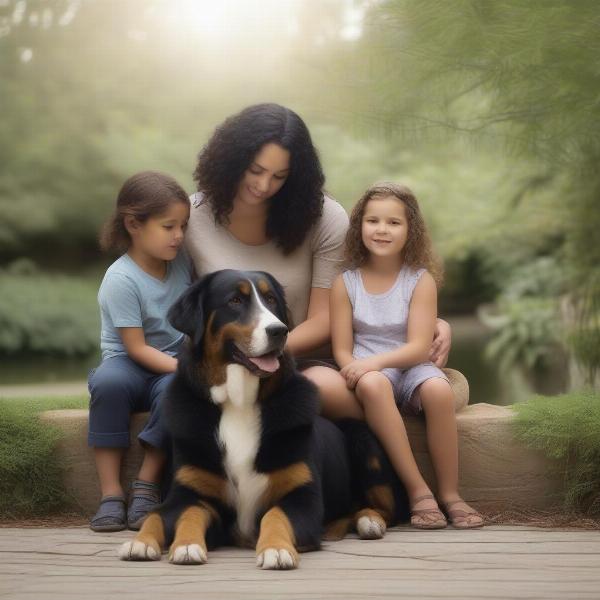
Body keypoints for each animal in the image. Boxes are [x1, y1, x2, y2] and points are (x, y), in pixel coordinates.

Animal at [118, 270, 408, 568]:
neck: (239, 403)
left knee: (386, 510)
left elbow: (275, 514)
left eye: (271, 300)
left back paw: (369, 520)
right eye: (235, 300)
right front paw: (166, 543)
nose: (279, 330)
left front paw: (276, 549)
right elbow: (172, 515)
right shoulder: (189, 492)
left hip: (364, 443)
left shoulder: (302, 497)